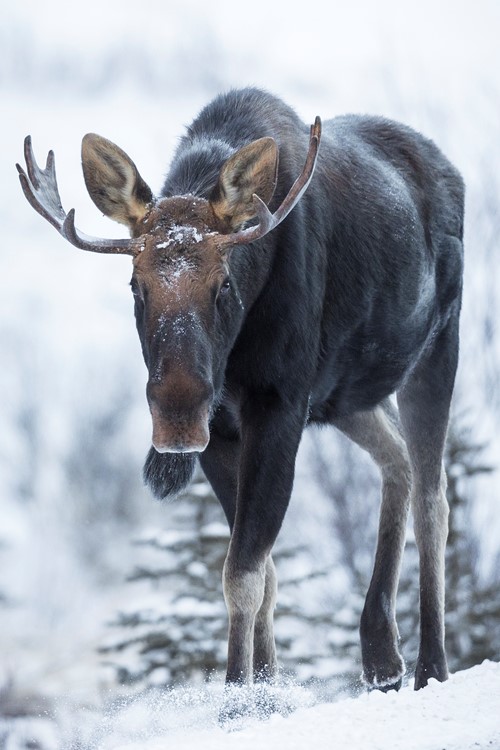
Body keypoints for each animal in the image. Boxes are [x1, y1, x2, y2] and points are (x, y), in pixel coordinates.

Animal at [18, 88, 464, 712]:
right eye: (135, 285)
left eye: (223, 283)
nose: (176, 422)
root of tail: (450, 171)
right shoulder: (222, 429)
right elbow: (264, 572)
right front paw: (267, 689)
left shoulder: (278, 405)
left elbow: (243, 573)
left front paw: (236, 696)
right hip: (348, 395)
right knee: (396, 458)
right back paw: (381, 656)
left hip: (436, 344)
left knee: (434, 496)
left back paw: (431, 667)